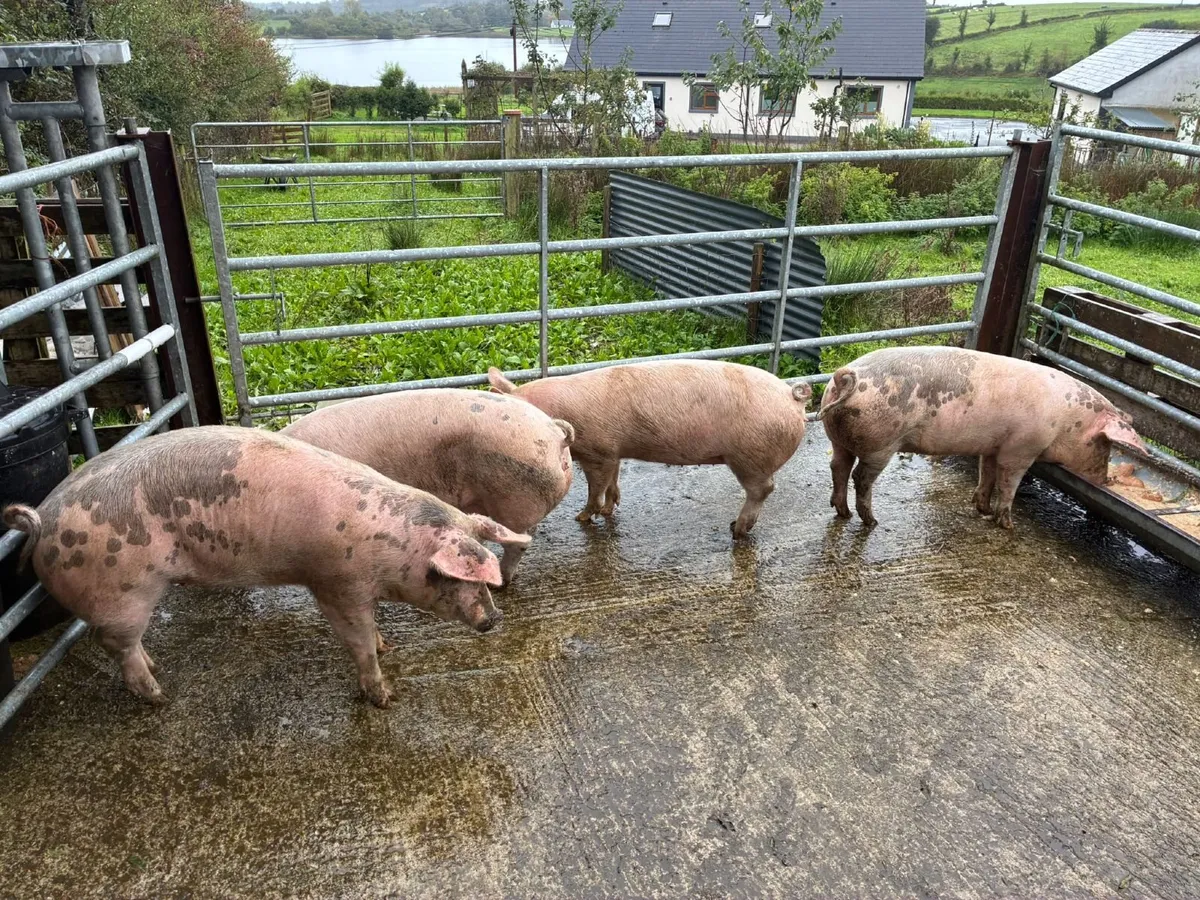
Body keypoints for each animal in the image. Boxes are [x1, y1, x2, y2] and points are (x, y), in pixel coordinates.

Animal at [1, 425, 530, 709]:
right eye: (450, 577)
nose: (495, 619)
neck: (390, 547)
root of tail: (42, 520)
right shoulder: (334, 582)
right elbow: (357, 639)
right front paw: (384, 695)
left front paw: (389, 644)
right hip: (121, 594)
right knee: (119, 648)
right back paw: (160, 696)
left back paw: (158, 669)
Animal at [487, 361, 813, 538]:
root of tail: (791, 395)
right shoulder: (614, 452)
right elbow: (613, 482)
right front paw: (610, 509)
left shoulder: (598, 452)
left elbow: (596, 487)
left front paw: (582, 517)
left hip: (750, 457)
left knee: (763, 489)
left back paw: (737, 530)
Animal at [818, 346, 1149, 529]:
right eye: (1105, 443)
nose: (1105, 480)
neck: (1068, 420)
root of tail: (846, 376)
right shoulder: (1021, 449)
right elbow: (1008, 484)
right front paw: (1008, 525)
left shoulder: (993, 446)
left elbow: (986, 474)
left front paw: (982, 509)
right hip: (881, 443)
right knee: (860, 477)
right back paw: (871, 522)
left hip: (840, 438)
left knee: (838, 467)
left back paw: (843, 513)